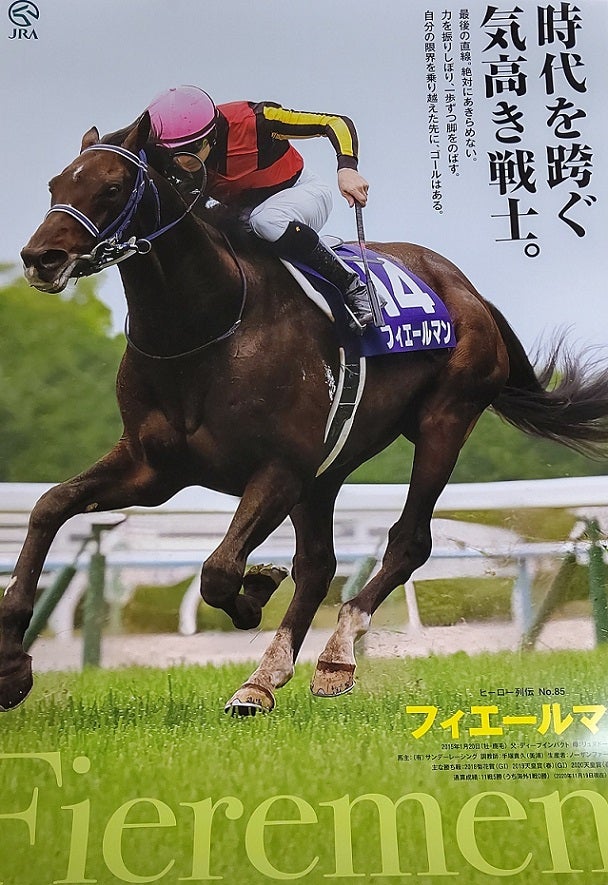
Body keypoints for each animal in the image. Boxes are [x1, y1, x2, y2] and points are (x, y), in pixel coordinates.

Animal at [4, 111, 608, 716]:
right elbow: (49, 506)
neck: (204, 327)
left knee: (408, 541)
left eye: (111, 187)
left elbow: (219, 570)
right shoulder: (154, 469)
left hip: (444, 421)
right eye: (56, 185)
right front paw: (13, 664)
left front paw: (255, 591)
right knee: (319, 564)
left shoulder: (280, 468)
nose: (40, 258)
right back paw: (263, 679)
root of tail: (467, 288)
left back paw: (335, 655)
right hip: (328, 469)